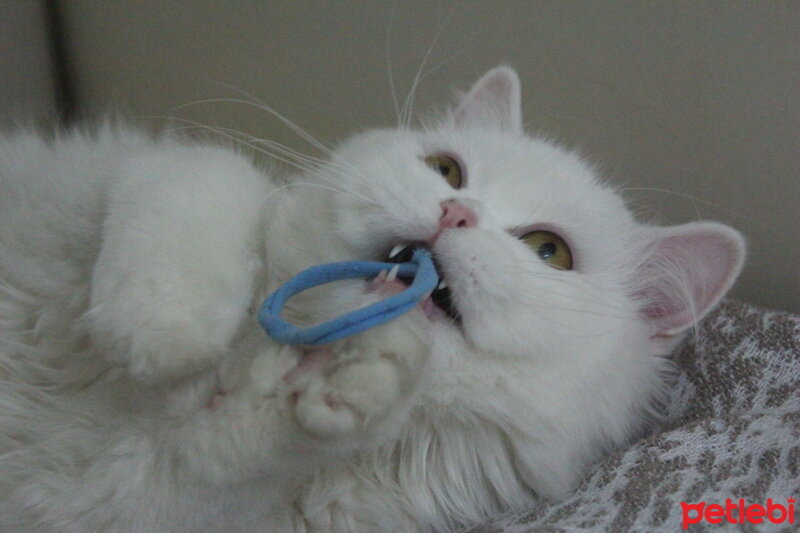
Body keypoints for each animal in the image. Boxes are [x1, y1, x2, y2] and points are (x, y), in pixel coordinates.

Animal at [0, 67, 744, 532]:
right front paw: (162, 333)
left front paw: (349, 384)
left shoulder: (122, 501)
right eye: (446, 169)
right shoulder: (142, 172)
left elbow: (220, 460)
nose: (454, 212)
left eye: (548, 252)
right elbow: (210, 179)